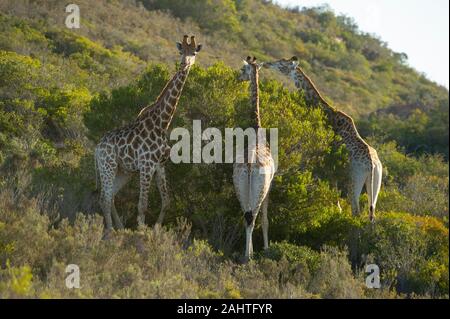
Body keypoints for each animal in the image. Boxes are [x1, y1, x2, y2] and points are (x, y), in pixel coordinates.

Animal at [95, 35, 202, 232]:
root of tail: (97, 148)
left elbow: (166, 201)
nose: (184, 63)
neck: (162, 123)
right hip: (108, 165)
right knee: (104, 198)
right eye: (181, 51)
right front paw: (142, 231)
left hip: (124, 171)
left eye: (194, 53)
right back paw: (110, 231)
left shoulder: (160, 165)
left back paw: (120, 228)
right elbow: (143, 204)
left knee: (111, 196)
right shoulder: (146, 165)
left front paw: (156, 230)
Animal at [264, 56, 384, 222]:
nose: (266, 63)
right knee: (372, 214)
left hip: (354, 178)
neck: (326, 112)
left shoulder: (325, 164)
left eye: (282, 65)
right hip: (376, 181)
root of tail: (372, 165)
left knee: (356, 210)